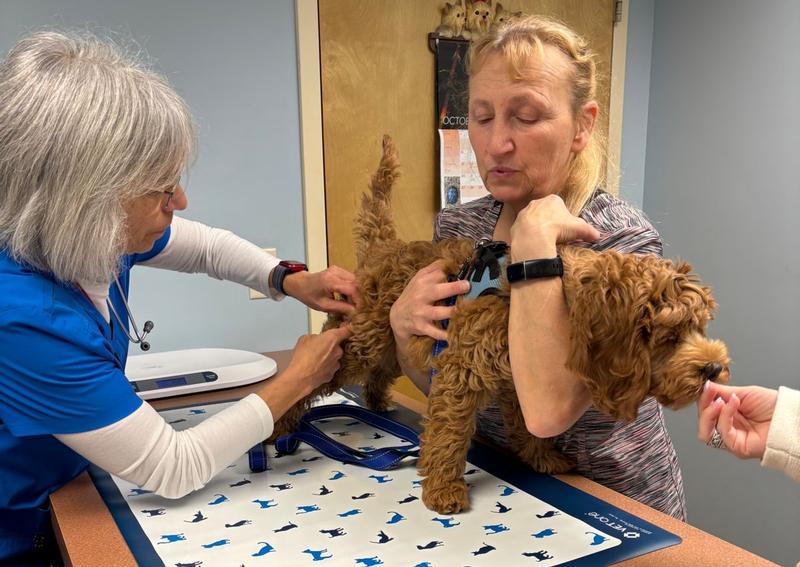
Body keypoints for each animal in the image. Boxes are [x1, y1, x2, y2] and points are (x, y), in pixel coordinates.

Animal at [276, 136, 732, 516]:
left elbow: (527, 426)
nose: (714, 368)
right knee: (323, 371)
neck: (550, 291)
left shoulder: (515, 380)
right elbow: (449, 431)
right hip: (362, 340)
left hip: (386, 342)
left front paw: (541, 457)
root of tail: (386, 248)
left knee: (381, 370)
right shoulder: (461, 369)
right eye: (671, 336)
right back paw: (282, 426)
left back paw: (374, 403)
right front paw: (443, 487)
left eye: (701, 327)